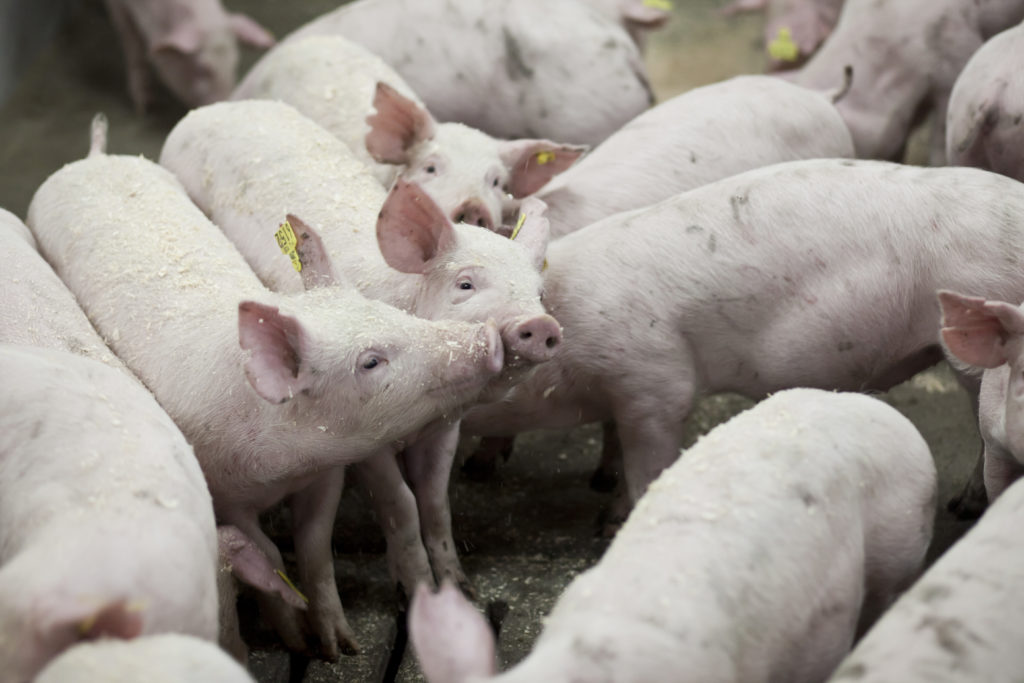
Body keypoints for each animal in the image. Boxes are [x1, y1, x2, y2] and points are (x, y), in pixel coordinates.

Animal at [28, 116, 505, 659]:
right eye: (370, 360)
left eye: (388, 312)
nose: (489, 337)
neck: (281, 467)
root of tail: (96, 156)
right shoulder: (224, 494)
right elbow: (271, 553)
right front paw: (299, 644)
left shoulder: (327, 474)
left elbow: (314, 546)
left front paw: (341, 647)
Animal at [103, 0, 275, 112]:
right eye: (203, 68)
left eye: (234, 64)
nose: (225, 101)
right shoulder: (119, 8)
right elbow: (132, 44)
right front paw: (146, 104)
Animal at [160, 99, 558, 603]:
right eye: (465, 284)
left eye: (539, 293)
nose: (539, 324)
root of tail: (220, 105)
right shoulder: (362, 438)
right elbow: (402, 504)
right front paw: (414, 594)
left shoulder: (445, 426)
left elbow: (435, 500)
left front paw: (460, 590)